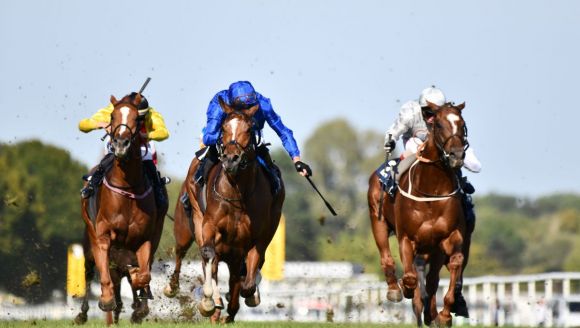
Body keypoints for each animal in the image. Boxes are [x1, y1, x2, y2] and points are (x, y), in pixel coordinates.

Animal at [78, 93, 168, 318]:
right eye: (112, 115)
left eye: (138, 118)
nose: (120, 144)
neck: (128, 188)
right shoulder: (102, 235)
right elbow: (105, 271)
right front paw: (107, 300)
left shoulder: (144, 238)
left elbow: (143, 274)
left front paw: (139, 303)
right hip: (89, 235)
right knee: (90, 269)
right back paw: (83, 313)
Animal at [164, 96, 284, 322]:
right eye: (224, 127)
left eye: (249, 129)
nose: (231, 158)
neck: (238, 192)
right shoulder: (210, 227)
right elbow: (209, 256)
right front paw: (210, 301)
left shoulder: (252, 242)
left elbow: (246, 281)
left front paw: (242, 298)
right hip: (187, 227)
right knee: (184, 254)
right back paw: (176, 288)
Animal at [370, 101, 468, 326]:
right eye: (438, 125)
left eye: (463, 125)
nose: (457, 155)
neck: (432, 191)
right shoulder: (407, 238)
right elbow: (410, 278)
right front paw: (405, 289)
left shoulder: (448, 238)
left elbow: (453, 265)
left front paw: (444, 315)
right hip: (378, 222)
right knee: (387, 258)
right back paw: (395, 290)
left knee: (432, 282)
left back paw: (431, 314)